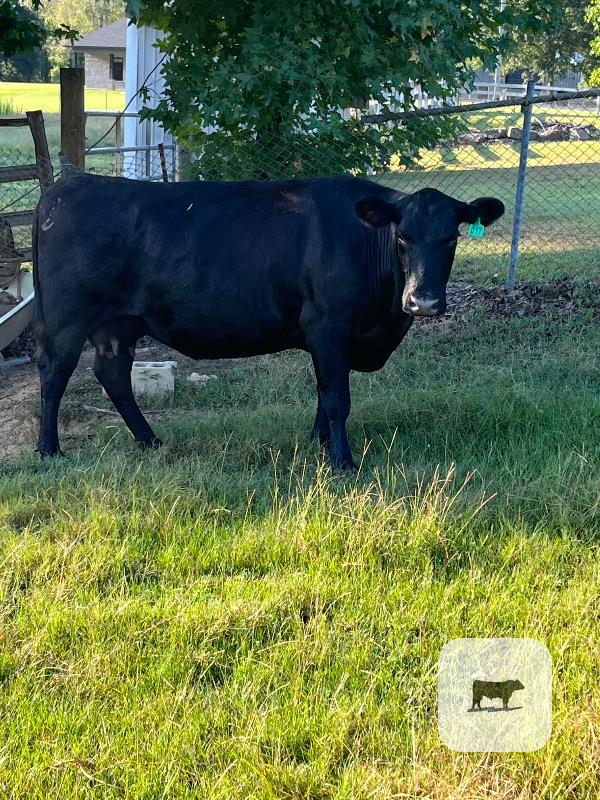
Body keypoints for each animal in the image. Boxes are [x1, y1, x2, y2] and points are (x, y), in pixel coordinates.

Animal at [33, 174, 504, 469]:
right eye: (402, 236)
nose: (422, 301)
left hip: (120, 324)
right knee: (55, 373)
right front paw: (343, 462)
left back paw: (150, 441)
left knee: (113, 375)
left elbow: (324, 393)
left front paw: (318, 443)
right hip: (66, 318)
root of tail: (67, 185)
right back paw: (48, 450)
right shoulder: (327, 326)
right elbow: (338, 397)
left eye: (451, 237)